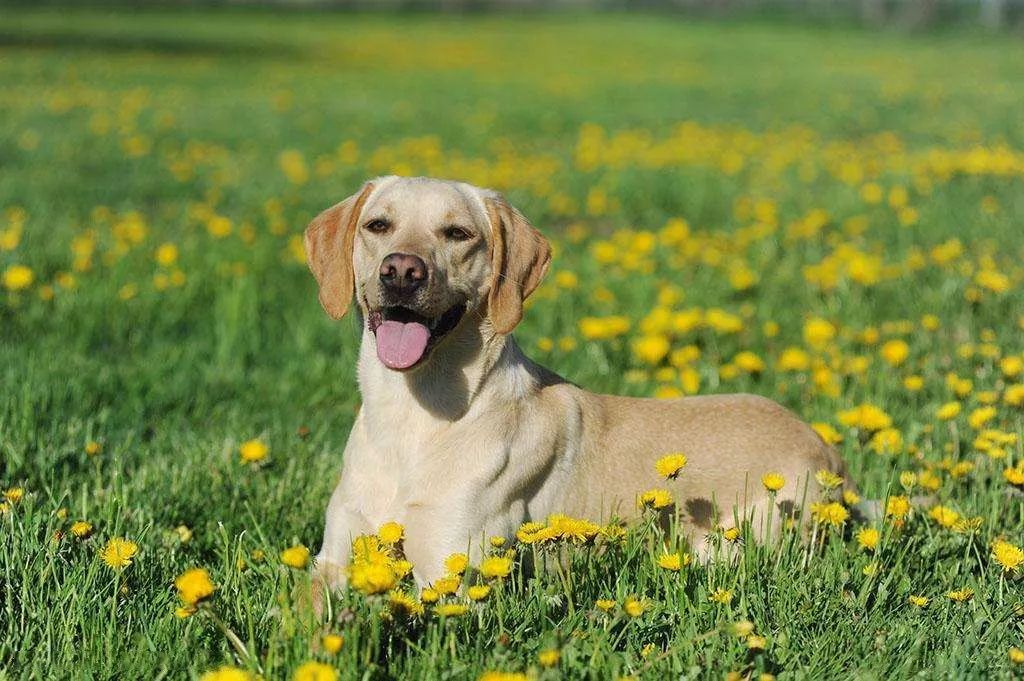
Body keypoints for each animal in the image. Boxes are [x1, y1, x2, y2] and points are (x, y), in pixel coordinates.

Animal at [303, 175, 847, 606]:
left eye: (458, 234)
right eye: (378, 225)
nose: (401, 270)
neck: (411, 415)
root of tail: (827, 449)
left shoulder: (448, 575)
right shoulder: (333, 557)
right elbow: (306, 610)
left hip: (732, 542)